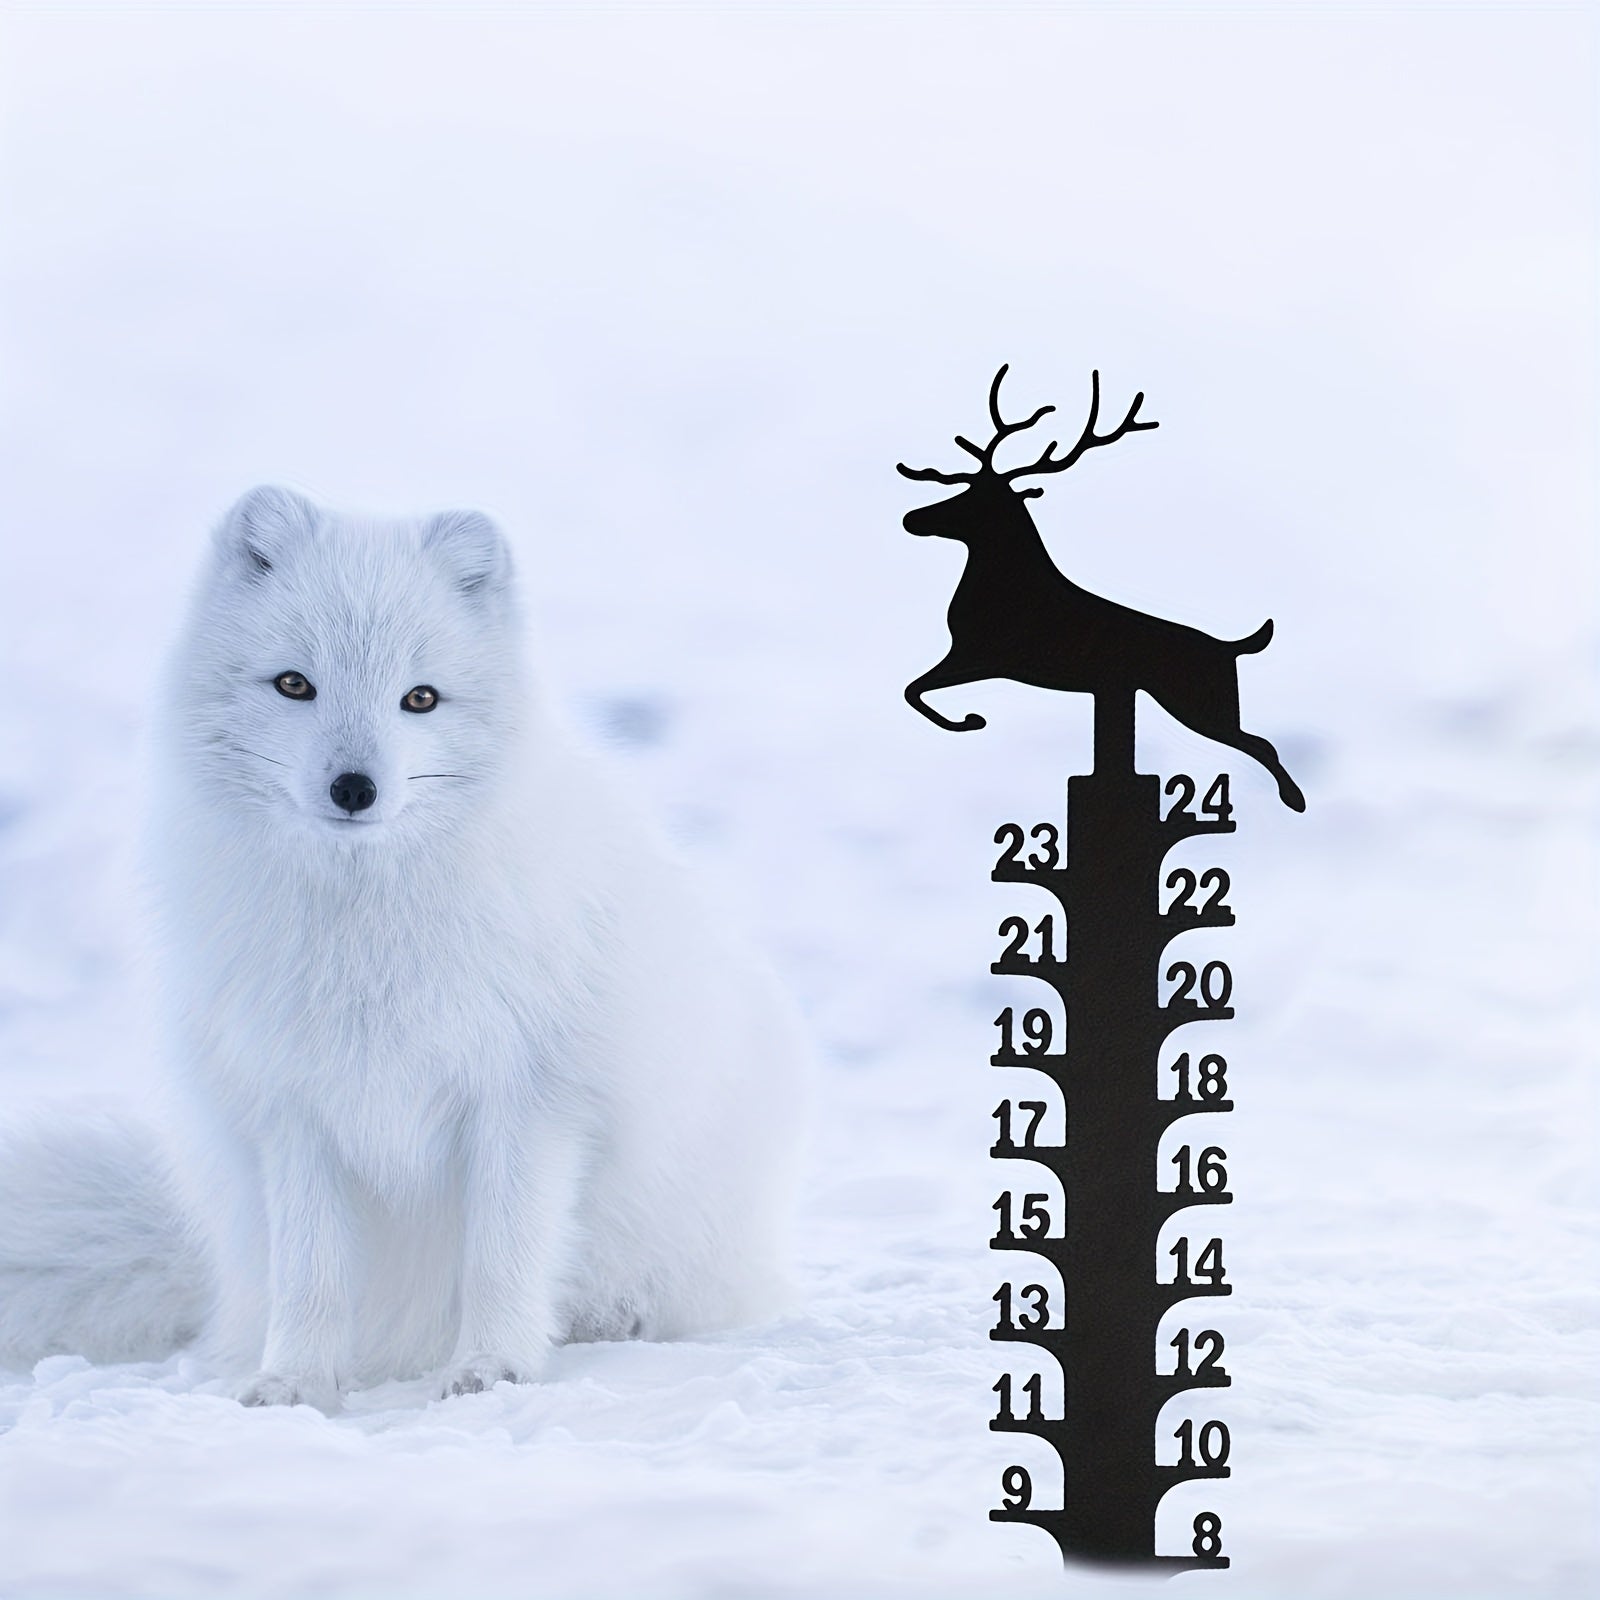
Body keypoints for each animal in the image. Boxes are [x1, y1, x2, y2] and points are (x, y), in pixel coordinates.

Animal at [898, 366, 1305, 812]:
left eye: (977, 500)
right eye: (961, 489)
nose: (911, 518)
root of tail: (1231, 646)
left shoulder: (981, 656)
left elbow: (913, 691)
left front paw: (970, 721)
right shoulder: (971, 657)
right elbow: (913, 689)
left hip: (1201, 703)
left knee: (1262, 744)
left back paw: (1295, 799)